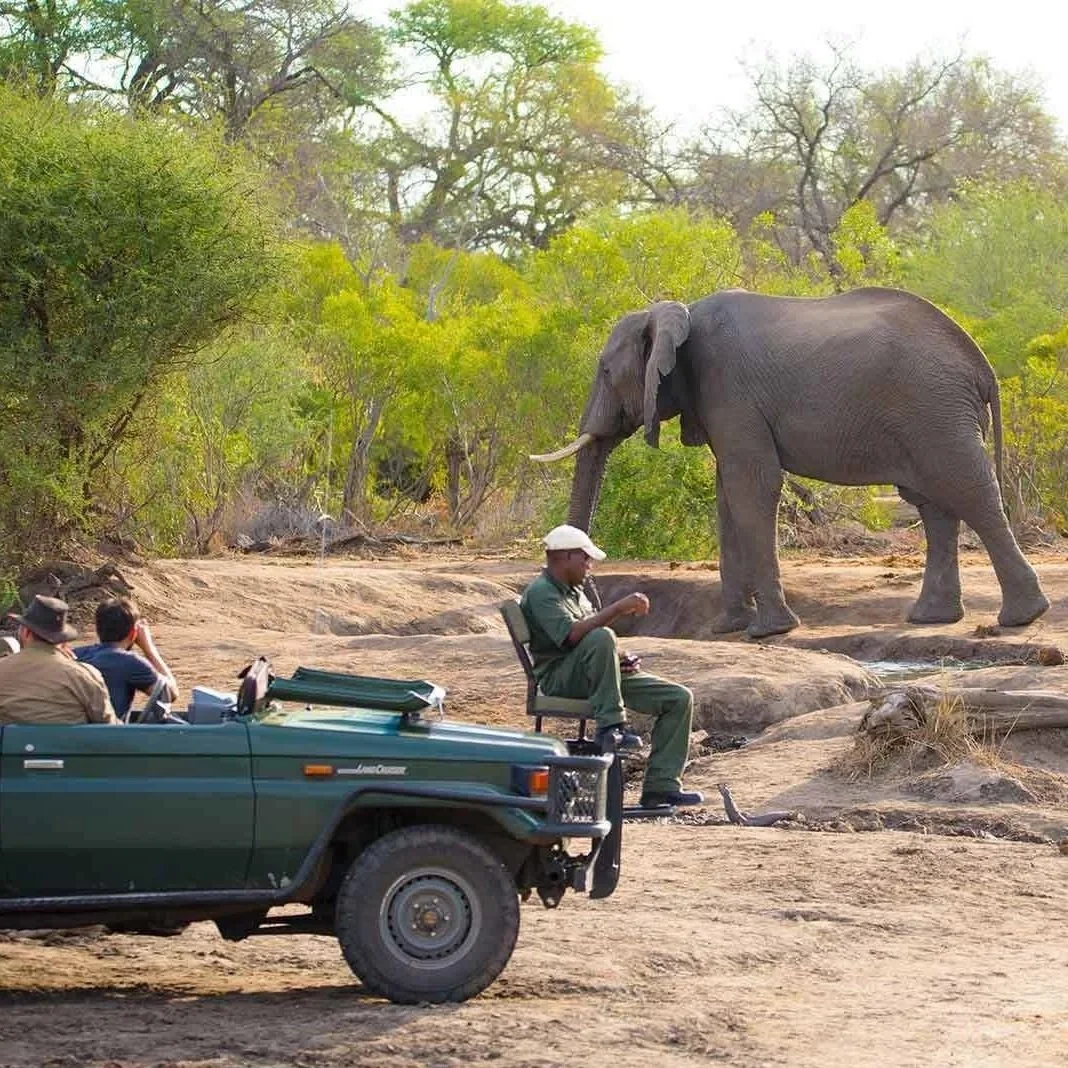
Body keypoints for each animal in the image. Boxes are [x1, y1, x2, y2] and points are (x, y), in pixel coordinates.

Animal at [531, 286, 1050, 639]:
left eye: (604, 371)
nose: (594, 601)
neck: (677, 312)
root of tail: (981, 365)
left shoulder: (728, 388)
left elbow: (751, 486)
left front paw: (769, 631)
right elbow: (728, 495)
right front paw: (728, 628)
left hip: (934, 409)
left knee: (969, 491)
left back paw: (1023, 616)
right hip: (930, 411)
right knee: (934, 504)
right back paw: (931, 618)